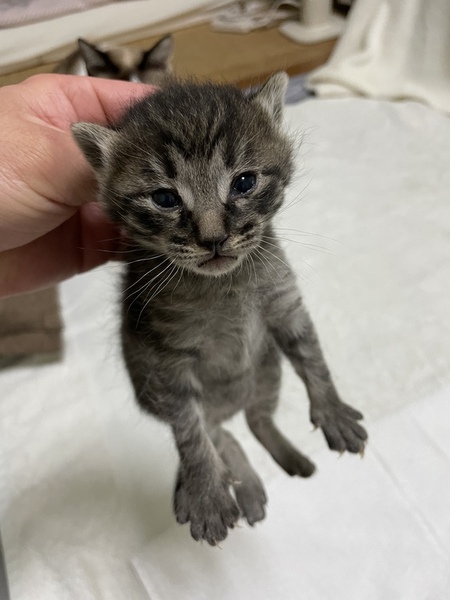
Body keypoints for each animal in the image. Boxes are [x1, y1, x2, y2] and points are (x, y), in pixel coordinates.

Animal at [72, 73, 368, 546]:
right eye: (164, 198)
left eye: (244, 182)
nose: (213, 239)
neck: (223, 286)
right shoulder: (166, 359)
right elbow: (191, 434)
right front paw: (208, 494)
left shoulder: (284, 305)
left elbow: (313, 358)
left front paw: (335, 412)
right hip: (161, 395)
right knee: (217, 430)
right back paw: (239, 487)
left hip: (266, 371)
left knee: (255, 420)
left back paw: (291, 461)